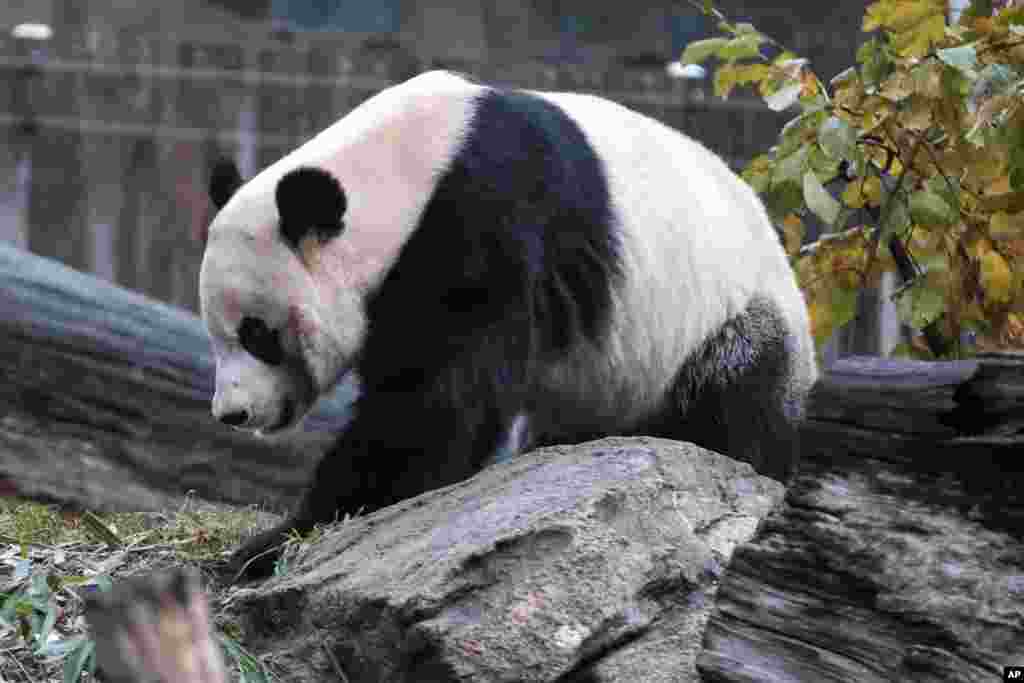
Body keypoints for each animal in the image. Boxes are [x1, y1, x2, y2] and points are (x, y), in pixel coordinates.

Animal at [199, 72, 819, 581]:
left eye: (257, 334)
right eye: (218, 333)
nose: (233, 414)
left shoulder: (485, 220)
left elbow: (437, 398)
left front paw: (278, 542)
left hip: (724, 320)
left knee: (736, 400)